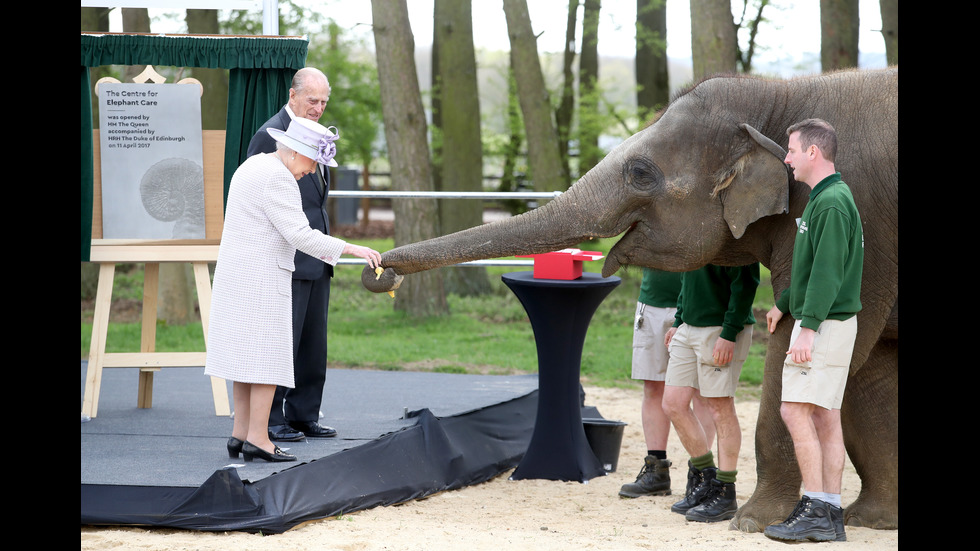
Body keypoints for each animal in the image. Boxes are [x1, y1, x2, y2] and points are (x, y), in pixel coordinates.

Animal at [366, 67, 896, 532]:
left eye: (640, 173)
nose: (380, 271)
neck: (778, 93)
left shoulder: (862, 229)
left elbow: (800, 344)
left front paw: (753, 522)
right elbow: (870, 373)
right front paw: (871, 520)